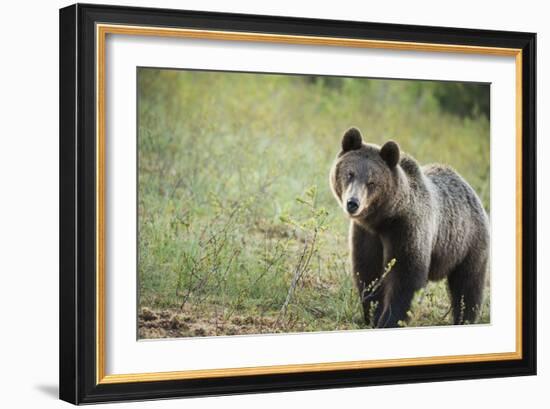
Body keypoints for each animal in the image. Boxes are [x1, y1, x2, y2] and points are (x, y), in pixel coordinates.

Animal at [332, 127, 492, 328]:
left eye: (371, 182)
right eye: (350, 174)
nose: (353, 203)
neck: (383, 220)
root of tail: (470, 189)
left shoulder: (407, 229)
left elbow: (406, 277)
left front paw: (389, 320)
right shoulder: (366, 235)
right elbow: (369, 272)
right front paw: (372, 314)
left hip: (468, 243)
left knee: (468, 285)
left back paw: (464, 319)